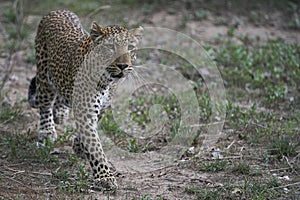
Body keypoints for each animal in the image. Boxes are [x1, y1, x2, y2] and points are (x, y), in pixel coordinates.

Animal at [27, 10, 143, 191]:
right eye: (110, 47)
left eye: (130, 48)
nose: (123, 66)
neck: (107, 81)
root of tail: (56, 11)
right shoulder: (86, 111)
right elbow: (96, 147)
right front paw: (105, 178)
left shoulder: (101, 109)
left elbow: (90, 134)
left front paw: (80, 146)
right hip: (44, 76)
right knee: (45, 105)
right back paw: (47, 132)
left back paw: (60, 113)